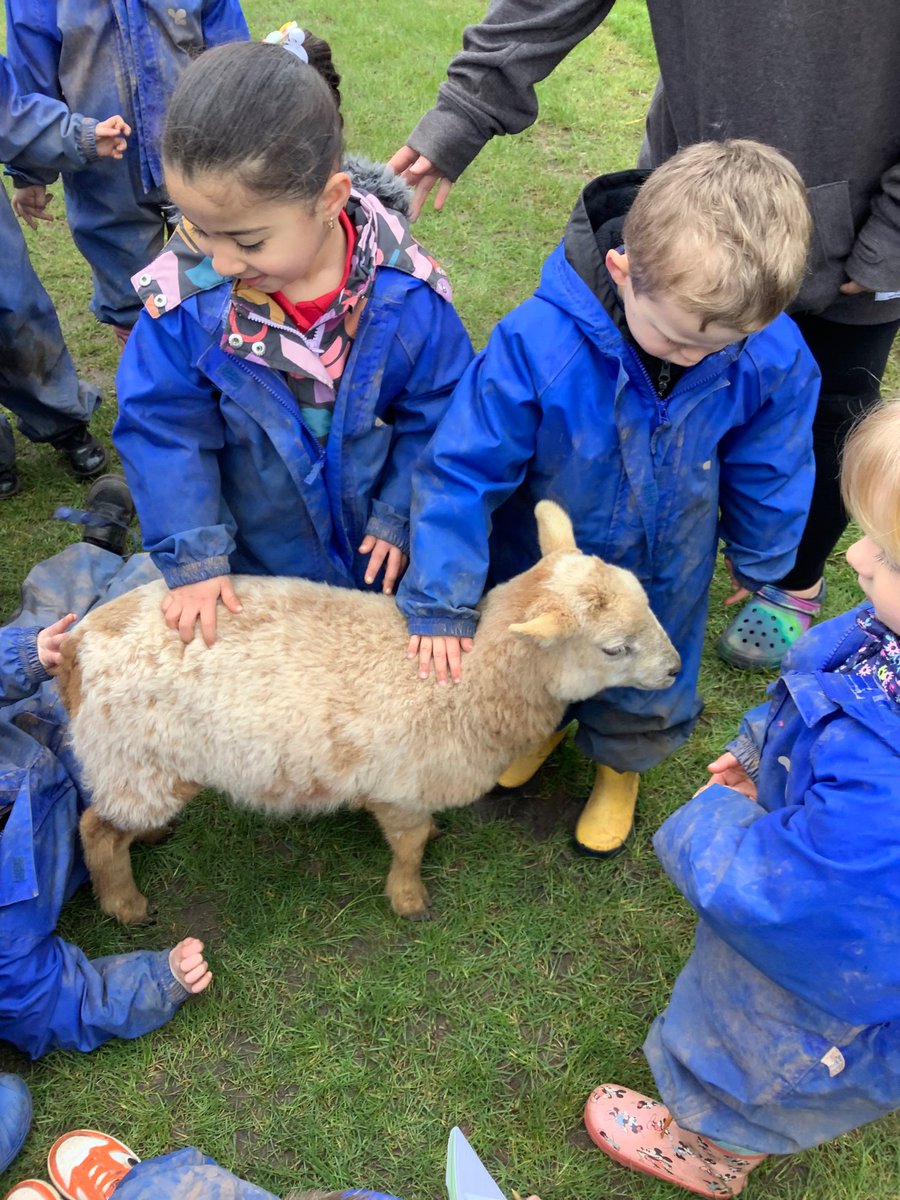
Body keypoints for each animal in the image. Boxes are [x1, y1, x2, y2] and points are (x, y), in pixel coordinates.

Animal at [57, 501, 679, 923]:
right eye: (614, 649)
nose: (675, 669)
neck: (471, 684)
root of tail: (77, 644)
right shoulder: (402, 788)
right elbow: (411, 844)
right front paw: (409, 899)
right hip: (135, 756)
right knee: (96, 830)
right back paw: (126, 904)